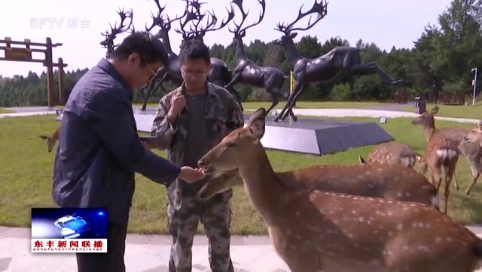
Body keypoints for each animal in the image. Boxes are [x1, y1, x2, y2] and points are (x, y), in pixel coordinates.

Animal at [199, 107, 482, 272]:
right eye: (223, 138)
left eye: (232, 143)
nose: (202, 162)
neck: (278, 207)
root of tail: (472, 244)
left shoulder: (303, 258)